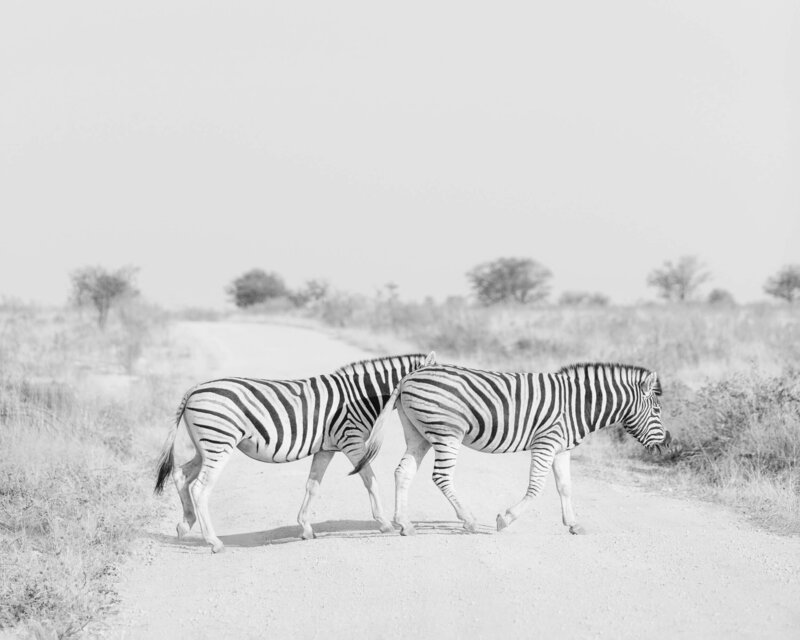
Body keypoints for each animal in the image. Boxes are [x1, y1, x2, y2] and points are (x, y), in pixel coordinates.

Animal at [152, 350, 434, 552]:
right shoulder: (351, 441)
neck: (362, 395)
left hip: (206, 447)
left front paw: (306, 528)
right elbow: (371, 481)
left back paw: (185, 525)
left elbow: (313, 486)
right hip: (218, 443)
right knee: (200, 488)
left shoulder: (326, 448)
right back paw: (213, 542)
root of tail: (193, 390)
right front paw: (386, 524)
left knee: (180, 474)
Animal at [354, 364, 672, 536]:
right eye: (657, 410)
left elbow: (565, 487)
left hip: (419, 433)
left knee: (403, 471)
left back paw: (405, 524)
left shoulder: (561, 448)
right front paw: (504, 519)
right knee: (441, 477)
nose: (668, 443)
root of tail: (409, 377)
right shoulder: (546, 442)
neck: (578, 405)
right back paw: (469, 520)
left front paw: (574, 524)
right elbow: (536, 487)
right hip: (447, 432)